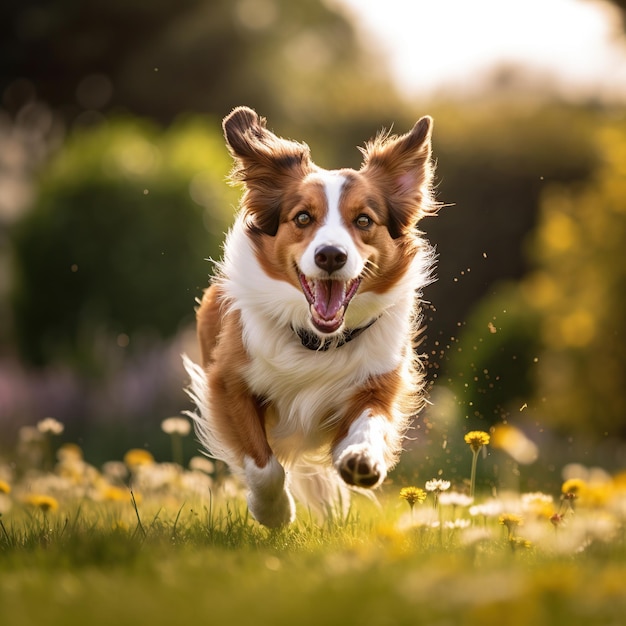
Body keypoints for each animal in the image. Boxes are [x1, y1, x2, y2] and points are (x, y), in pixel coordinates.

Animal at [182, 107, 434, 528]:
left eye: (363, 221)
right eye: (302, 218)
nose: (330, 255)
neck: (317, 341)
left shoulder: (379, 381)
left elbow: (371, 421)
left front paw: (362, 458)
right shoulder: (228, 383)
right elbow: (264, 465)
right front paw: (274, 512)